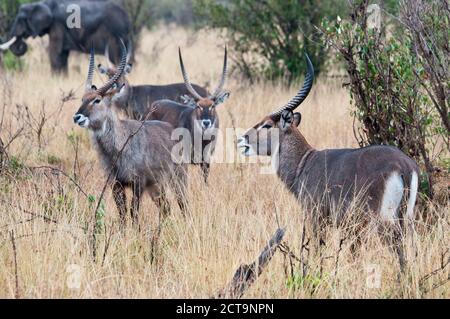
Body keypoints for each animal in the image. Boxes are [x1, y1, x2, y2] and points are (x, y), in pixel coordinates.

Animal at [0, 0, 133, 73]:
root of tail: (127, 18)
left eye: (21, 20)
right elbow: (62, 54)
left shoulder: (57, 25)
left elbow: (55, 53)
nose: (22, 41)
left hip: (115, 35)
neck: (41, 3)